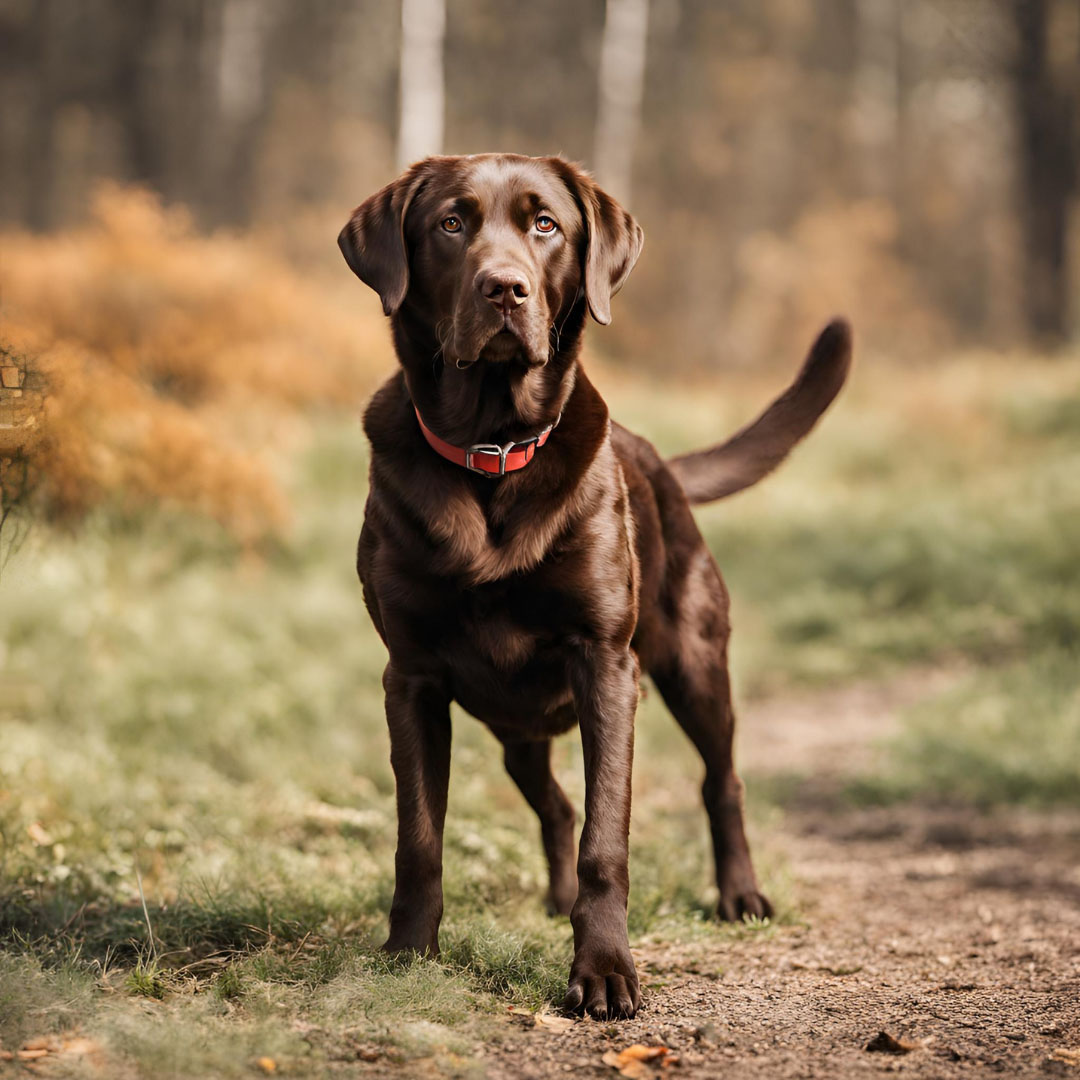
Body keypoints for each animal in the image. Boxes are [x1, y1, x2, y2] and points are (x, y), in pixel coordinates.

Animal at [336, 154, 851, 1019]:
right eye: (450, 224)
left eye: (545, 225)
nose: (504, 289)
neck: (492, 450)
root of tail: (663, 464)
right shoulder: (410, 679)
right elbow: (420, 837)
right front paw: (408, 955)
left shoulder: (606, 664)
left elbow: (606, 838)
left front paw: (605, 971)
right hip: (516, 727)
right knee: (553, 801)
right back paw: (553, 896)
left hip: (692, 665)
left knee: (722, 779)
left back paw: (739, 895)